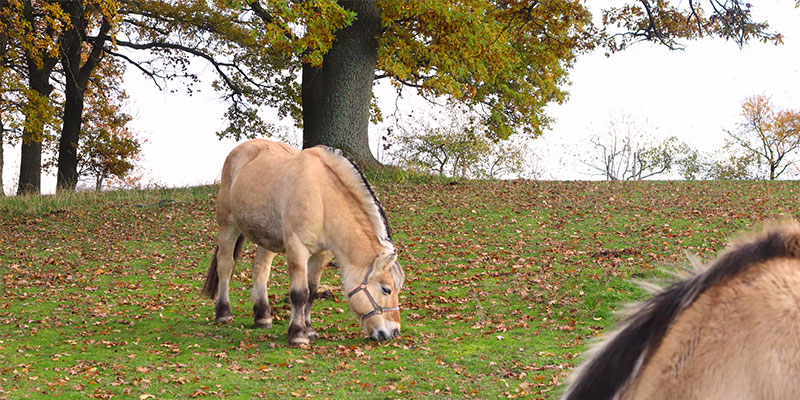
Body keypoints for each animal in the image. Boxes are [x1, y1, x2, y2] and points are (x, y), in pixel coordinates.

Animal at [198, 140, 404, 344]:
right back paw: (223, 313)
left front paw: (310, 330)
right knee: (225, 266)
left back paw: (263, 316)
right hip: (228, 226)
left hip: (267, 238)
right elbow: (300, 294)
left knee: (261, 270)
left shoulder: (321, 255)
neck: (322, 196)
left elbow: (311, 292)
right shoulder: (297, 249)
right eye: (386, 289)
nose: (393, 332)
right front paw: (298, 334)